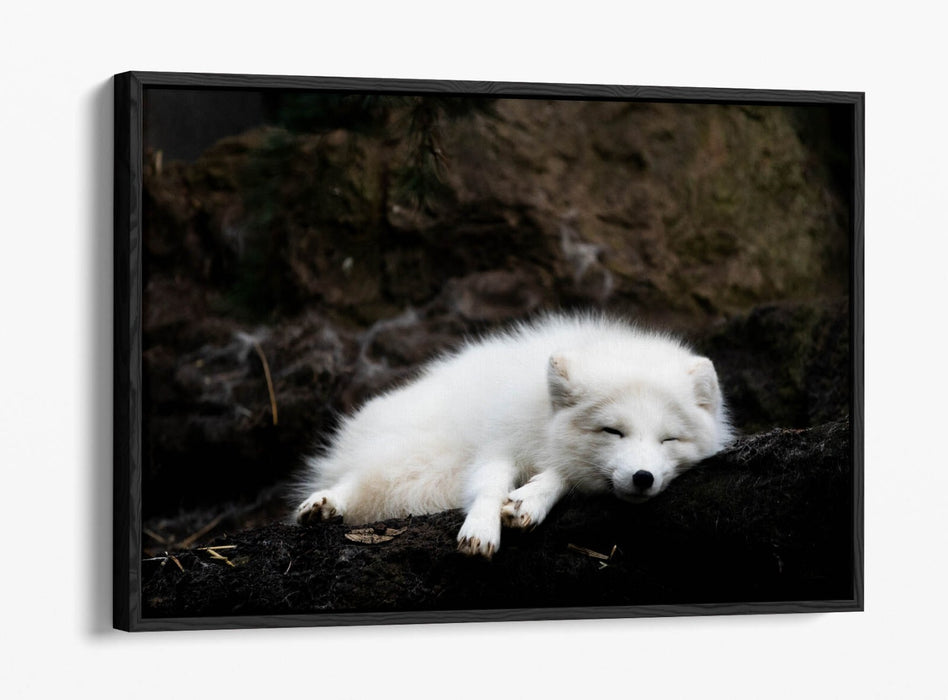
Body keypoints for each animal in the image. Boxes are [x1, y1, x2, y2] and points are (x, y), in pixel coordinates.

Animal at [294, 313, 733, 558]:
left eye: (669, 440)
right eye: (613, 430)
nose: (643, 478)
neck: (541, 417)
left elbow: (561, 476)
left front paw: (529, 500)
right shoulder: (499, 442)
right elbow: (489, 484)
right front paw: (482, 528)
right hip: (415, 455)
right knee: (360, 478)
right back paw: (324, 504)